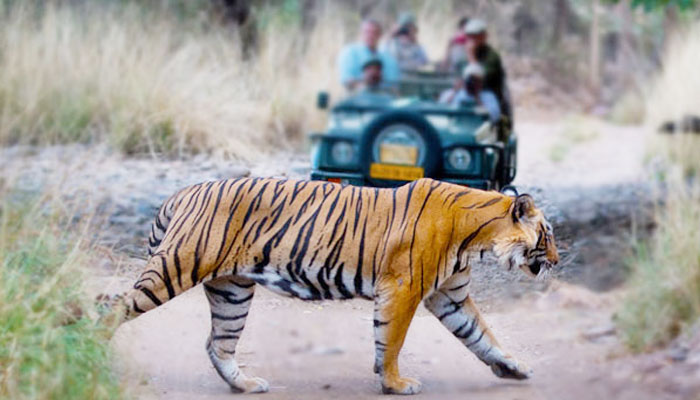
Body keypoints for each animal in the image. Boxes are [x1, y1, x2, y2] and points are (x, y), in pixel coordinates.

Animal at [102, 177, 556, 396]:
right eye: (547, 235)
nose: (555, 261)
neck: (476, 236)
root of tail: (184, 191)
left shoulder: (452, 297)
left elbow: (482, 335)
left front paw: (513, 367)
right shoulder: (404, 287)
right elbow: (392, 340)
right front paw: (395, 384)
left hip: (232, 290)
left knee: (218, 343)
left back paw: (245, 385)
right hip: (175, 267)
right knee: (109, 304)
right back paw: (92, 351)